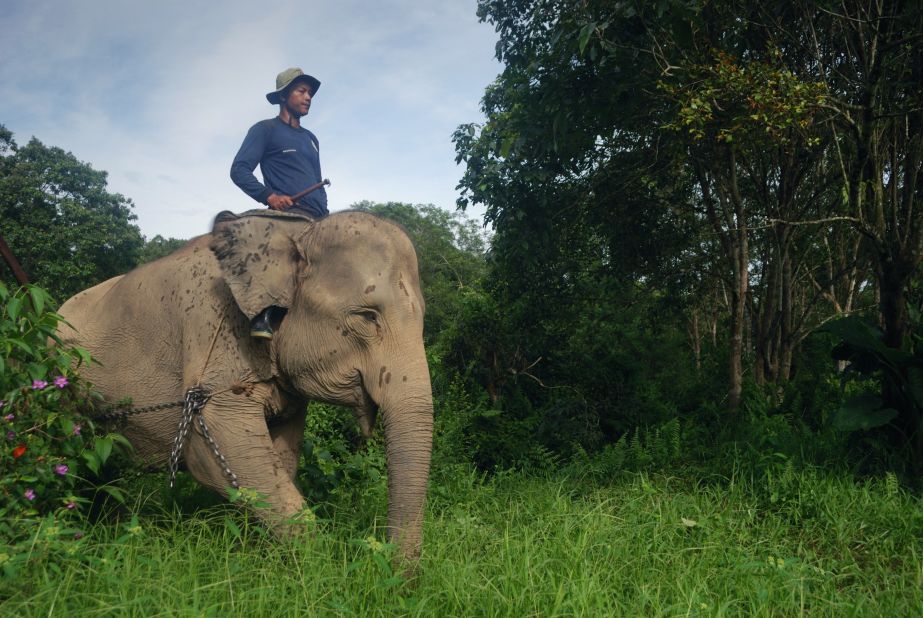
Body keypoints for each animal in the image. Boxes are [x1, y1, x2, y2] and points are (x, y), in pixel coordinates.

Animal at [56, 209, 434, 560]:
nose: (396, 571)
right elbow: (219, 446)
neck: (295, 232)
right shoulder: (212, 329)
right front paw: (318, 566)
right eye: (367, 316)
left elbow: (280, 455)